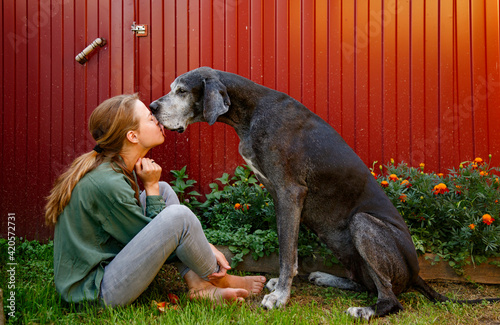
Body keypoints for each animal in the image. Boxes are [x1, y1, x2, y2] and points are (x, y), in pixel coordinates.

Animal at [149, 67, 500, 318]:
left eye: (181, 91)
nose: (152, 106)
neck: (250, 112)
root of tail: (416, 275)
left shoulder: (290, 192)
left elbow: (287, 252)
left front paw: (280, 297)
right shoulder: (279, 195)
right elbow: (288, 248)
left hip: (362, 223)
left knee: (391, 299)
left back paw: (366, 310)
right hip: (337, 238)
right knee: (364, 282)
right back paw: (326, 278)